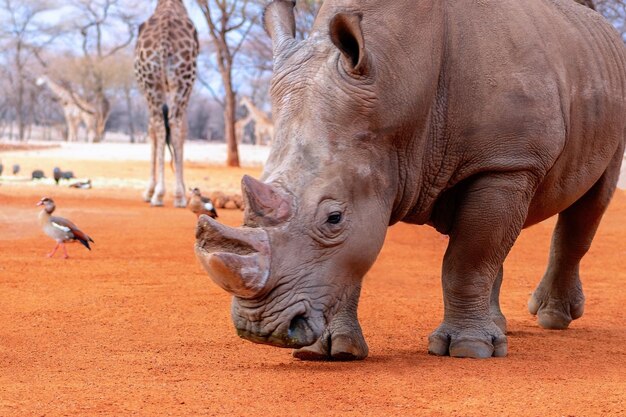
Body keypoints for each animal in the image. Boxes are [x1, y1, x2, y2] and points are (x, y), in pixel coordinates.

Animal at [133, 0, 197, 207]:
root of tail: (164, 40)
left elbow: (154, 130)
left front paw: (149, 191)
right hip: (179, 83)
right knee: (172, 125)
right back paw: (175, 195)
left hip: (158, 84)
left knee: (164, 125)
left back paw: (162, 194)